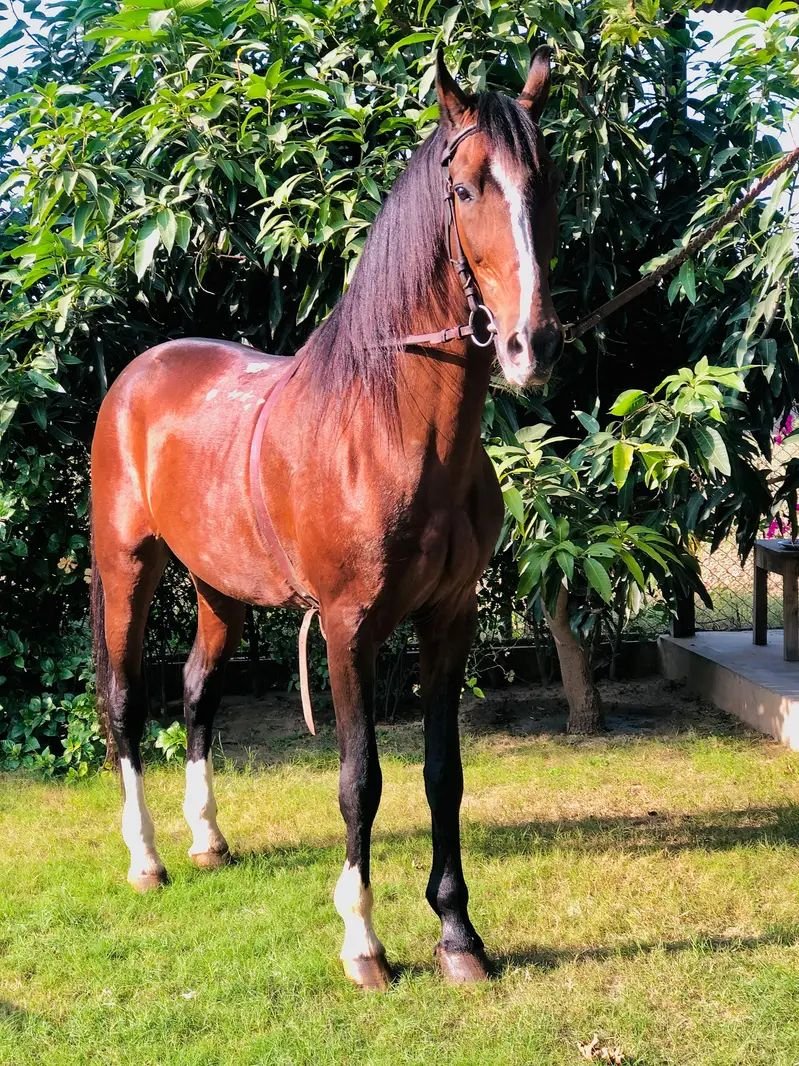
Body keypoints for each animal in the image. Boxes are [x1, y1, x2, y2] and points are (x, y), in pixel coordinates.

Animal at [90, 48, 563, 990]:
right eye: (465, 189)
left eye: (545, 184)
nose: (529, 346)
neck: (389, 428)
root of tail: (137, 374)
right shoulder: (348, 629)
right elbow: (360, 780)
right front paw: (363, 942)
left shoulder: (448, 619)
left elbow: (442, 774)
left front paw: (457, 935)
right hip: (129, 567)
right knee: (126, 700)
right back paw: (147, 858)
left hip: (218, 589)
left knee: (196, 692)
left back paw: (207, 840)